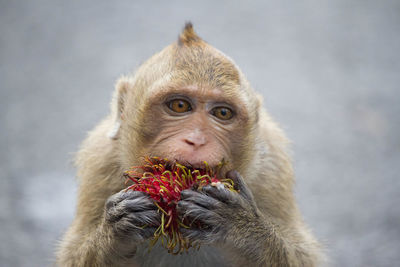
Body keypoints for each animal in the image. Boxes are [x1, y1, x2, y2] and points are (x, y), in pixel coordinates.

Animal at [56, 23, 324, 267]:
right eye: (180, 106)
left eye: (223, 113)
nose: (196, 139)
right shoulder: (99, 162)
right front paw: (116, 231)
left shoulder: (273, 168)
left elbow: (304, 256)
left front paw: (243, 227)